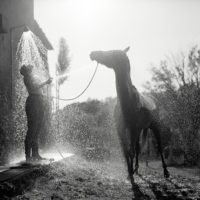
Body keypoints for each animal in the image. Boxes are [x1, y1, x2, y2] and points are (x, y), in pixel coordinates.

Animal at [90, 47, 170, 188]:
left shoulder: (134, 129)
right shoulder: (121, 130)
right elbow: (126, 151)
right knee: (138, 148)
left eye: (112, 52)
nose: (93, 53)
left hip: (155, 127)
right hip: (140, 130)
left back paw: (165, 172)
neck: (128, 101)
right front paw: (129, 174)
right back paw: (136, 169)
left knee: (159, 148)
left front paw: (131, 177)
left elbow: (131, 151)